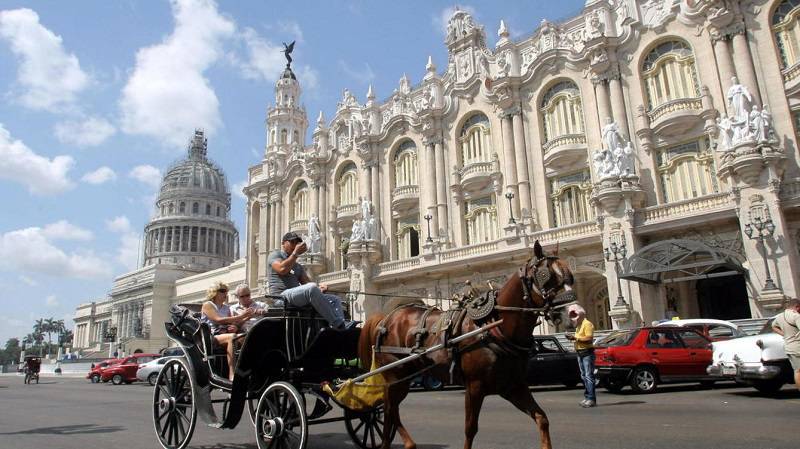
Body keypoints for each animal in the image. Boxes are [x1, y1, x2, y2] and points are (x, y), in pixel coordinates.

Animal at [358, 242, 576, 448]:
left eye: (570, 277)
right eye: (544, 276)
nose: (575, 313)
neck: (495, 326)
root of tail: (386, 318)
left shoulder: (513, 386)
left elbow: (542, 418)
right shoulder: (474, 386)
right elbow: (470, 429)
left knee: (389, 409)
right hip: (396, 377)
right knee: (389, 408)